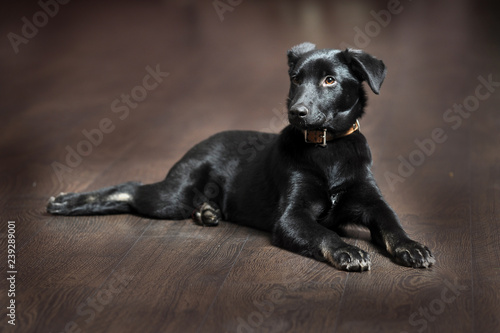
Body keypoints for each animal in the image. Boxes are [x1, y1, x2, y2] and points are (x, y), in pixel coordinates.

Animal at [48, 42, 436, 270]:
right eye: (296, 79)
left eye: (330, 80)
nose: (296, 112)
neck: (328, 148)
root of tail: (201, 141)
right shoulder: (291, 218)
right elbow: (323, 233)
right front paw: (347, 250)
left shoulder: (372, 201)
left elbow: (392, 224)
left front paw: (412, 247)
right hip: (171, 197)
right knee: (130, 188)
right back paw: (66, 201)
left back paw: (206, 212)